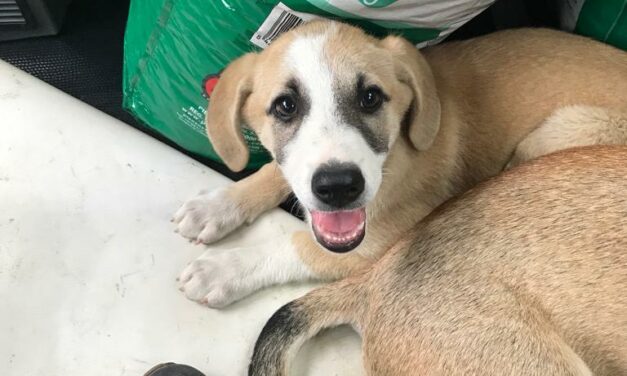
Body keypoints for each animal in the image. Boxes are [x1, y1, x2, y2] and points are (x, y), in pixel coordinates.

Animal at [172, 20, 627, 306]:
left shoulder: (375, 242)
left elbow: (295, 245)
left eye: (371, 97)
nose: (338, 187)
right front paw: (216, 206)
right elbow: (274, 172)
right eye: (285, 106)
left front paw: (225, 270)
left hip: (561, 132)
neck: (395, 158)